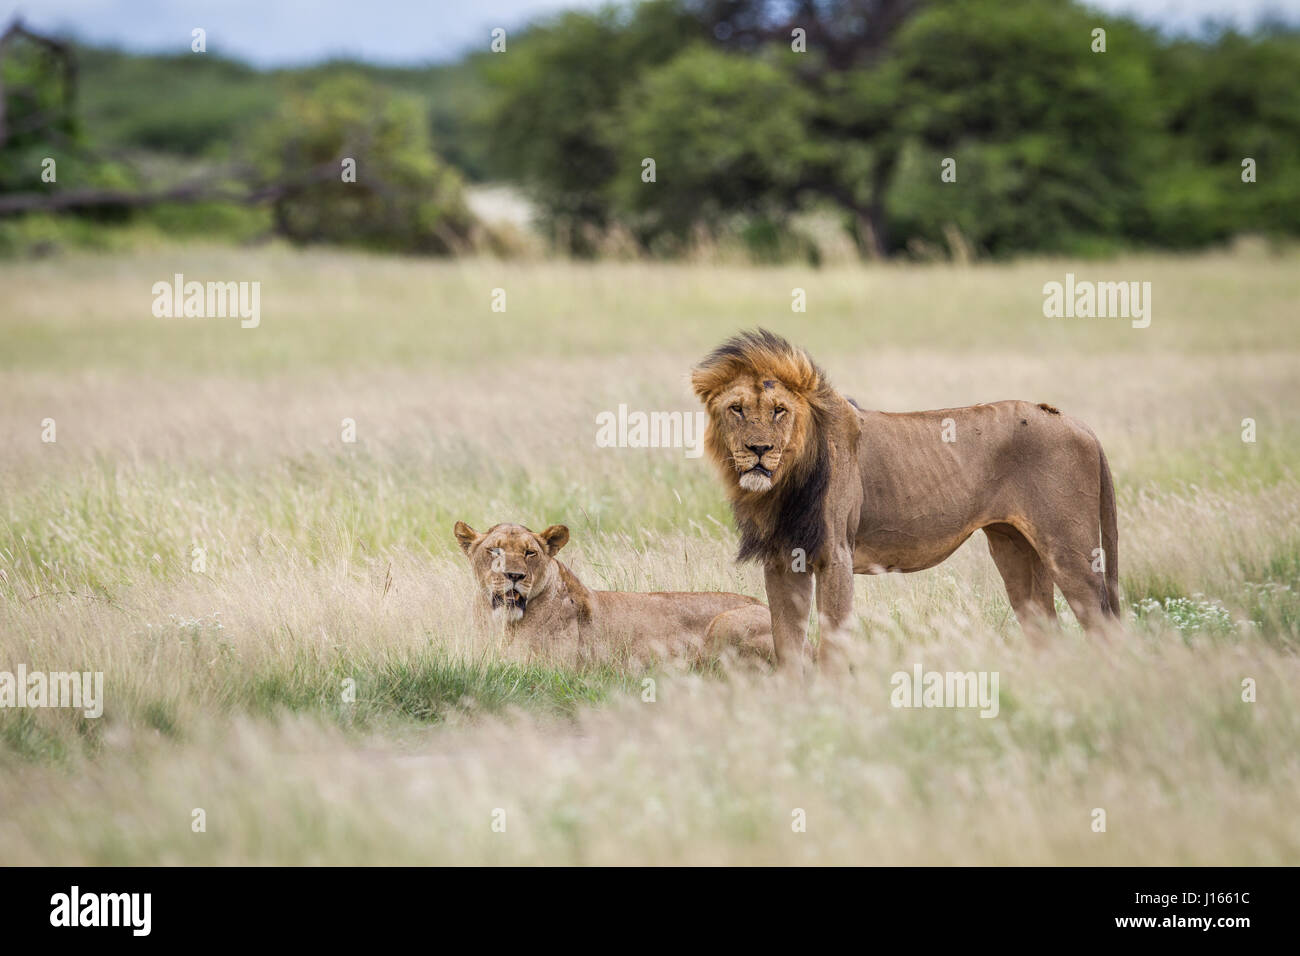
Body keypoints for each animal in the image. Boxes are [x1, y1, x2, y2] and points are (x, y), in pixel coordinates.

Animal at [691, 329, 1120, 670]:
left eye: (779, 410)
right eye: (736, 409)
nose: (759, 450)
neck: (786, 481)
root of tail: (1080, 424)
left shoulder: (836, 554)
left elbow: (832, 643)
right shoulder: (783, 561)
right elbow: (787, 646)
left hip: (1068, 549)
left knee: (1103, 627)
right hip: (1015, 547)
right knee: (1046, 631)